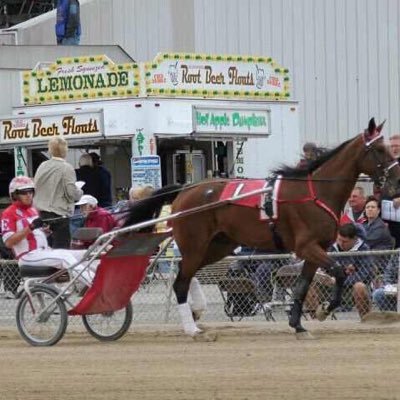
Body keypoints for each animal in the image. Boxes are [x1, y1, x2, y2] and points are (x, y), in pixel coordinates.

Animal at [123, 119, 400, 338]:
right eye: (379, 149)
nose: (396, 178)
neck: (315, 192)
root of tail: (186, 189)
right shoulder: (307, 247)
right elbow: (340, 273)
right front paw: (324, 310)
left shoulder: (316, 250)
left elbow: (302, 285)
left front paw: (298, 324)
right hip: (195, 245)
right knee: (180, 281)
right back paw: (192, 329)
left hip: (216, 247)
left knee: (186, 275)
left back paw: (197, 311)